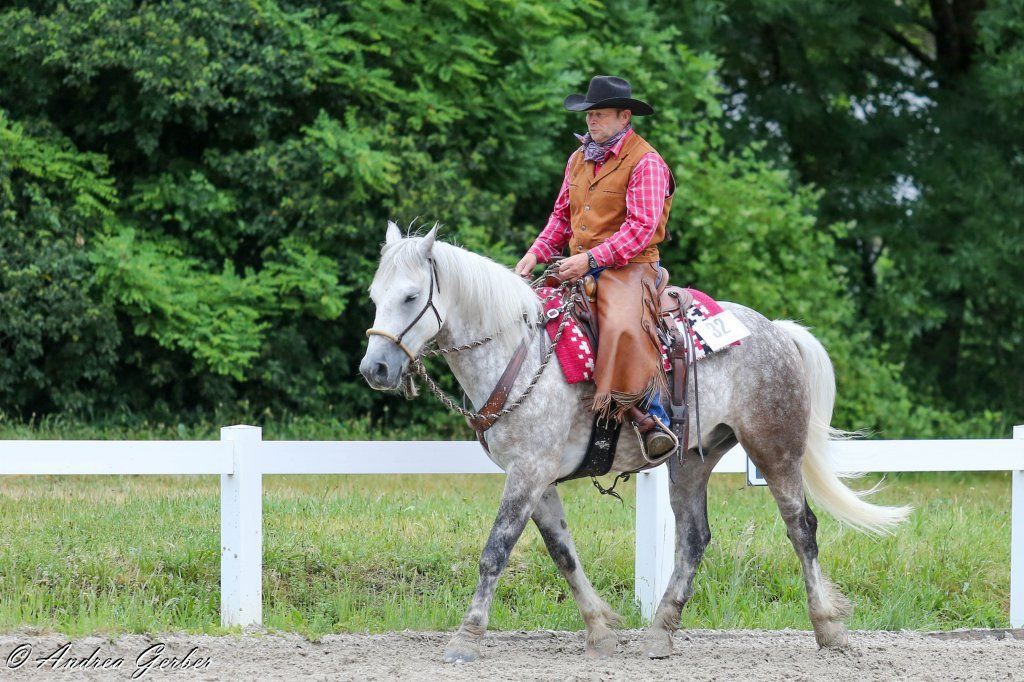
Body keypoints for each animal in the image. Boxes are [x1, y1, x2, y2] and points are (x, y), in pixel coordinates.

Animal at [359, 221, 911, 662]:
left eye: (411, 297)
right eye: (374, 297)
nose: (375, 368)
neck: (519, 351)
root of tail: (774, 330)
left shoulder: (529, 472)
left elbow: (495, 550)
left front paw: (465, 638)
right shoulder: (538, 477)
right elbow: (563, 553)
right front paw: (601, 632)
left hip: (775, 449)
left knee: (802, 529)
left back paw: (829, 630)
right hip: (692, 460)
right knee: (693, 538)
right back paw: (661, 632)